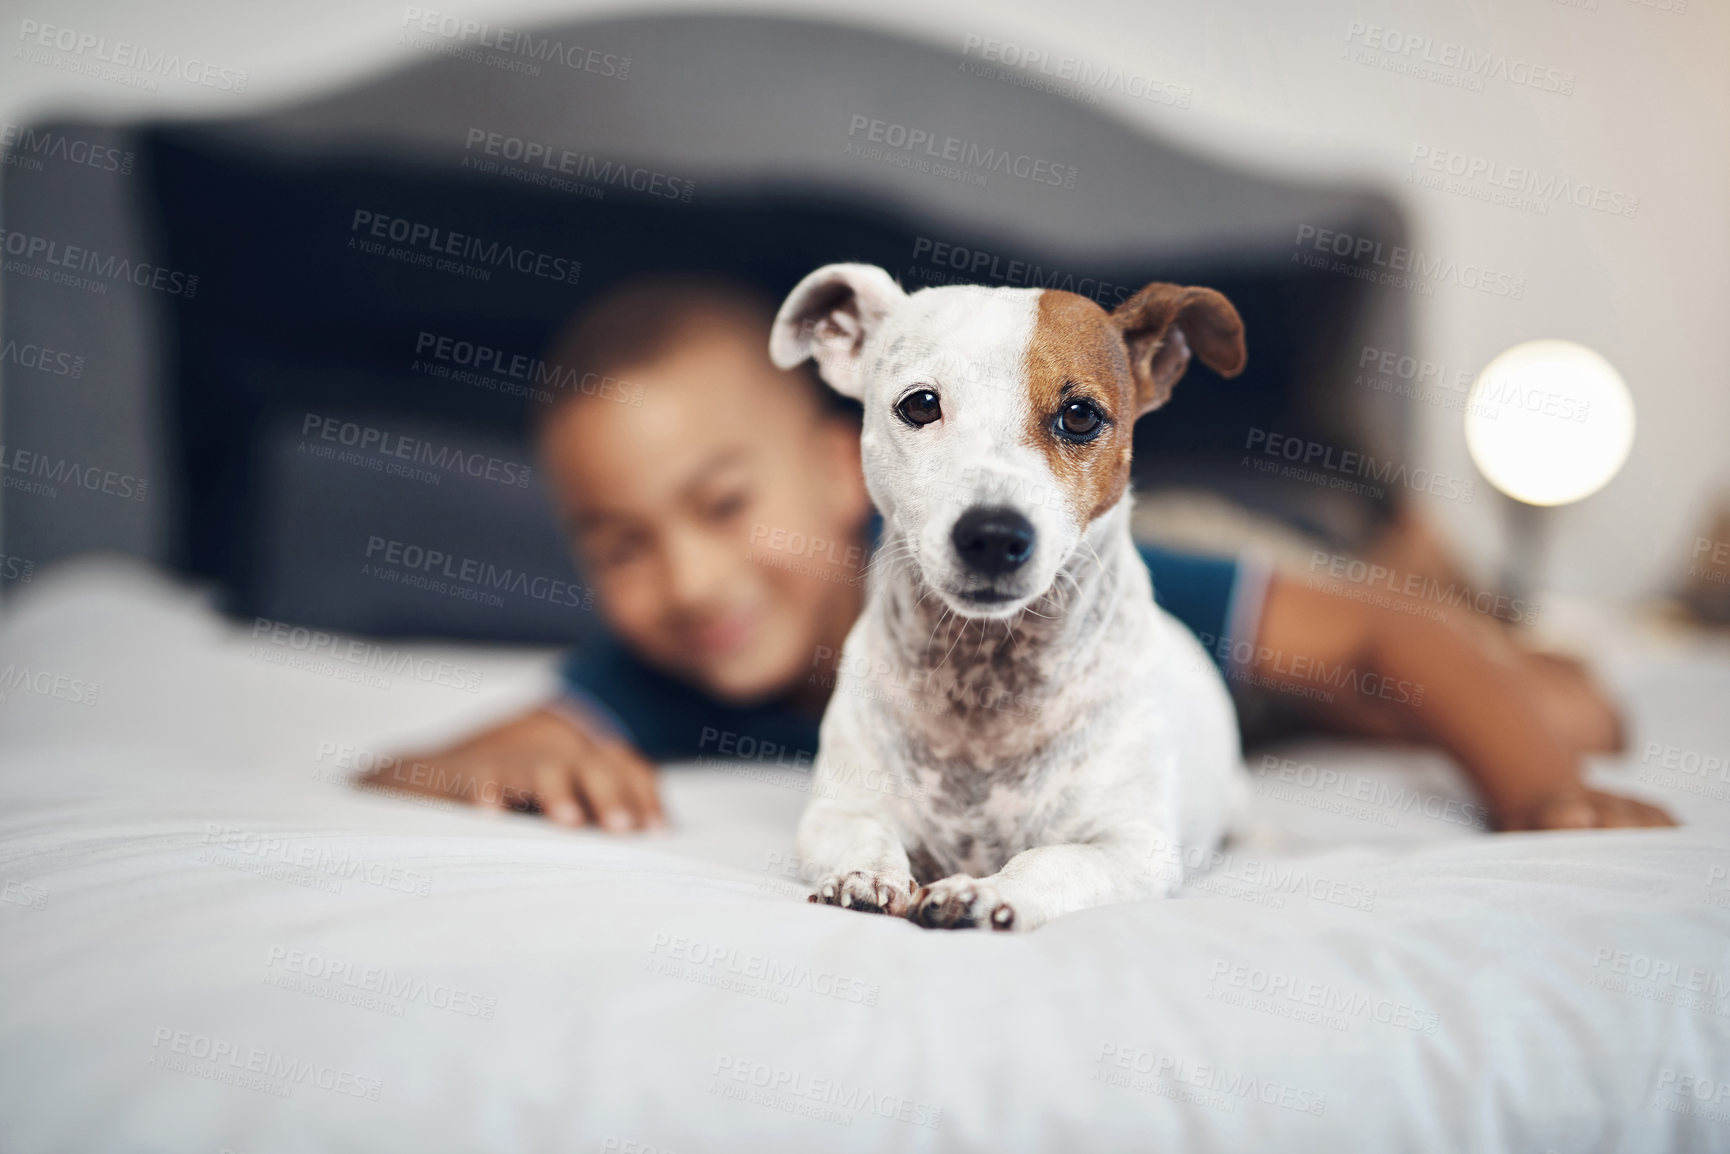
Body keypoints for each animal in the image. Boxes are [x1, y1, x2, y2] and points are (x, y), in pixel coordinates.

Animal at [778, 259, 1252, 927]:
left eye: (1080, 415)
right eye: (921, 404)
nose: (994, 535)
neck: (987, 676)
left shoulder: (1134, 847)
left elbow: (1052, 860)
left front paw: (986, 893)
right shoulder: (838, 811)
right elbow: (865, 834)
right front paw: (866, 874)